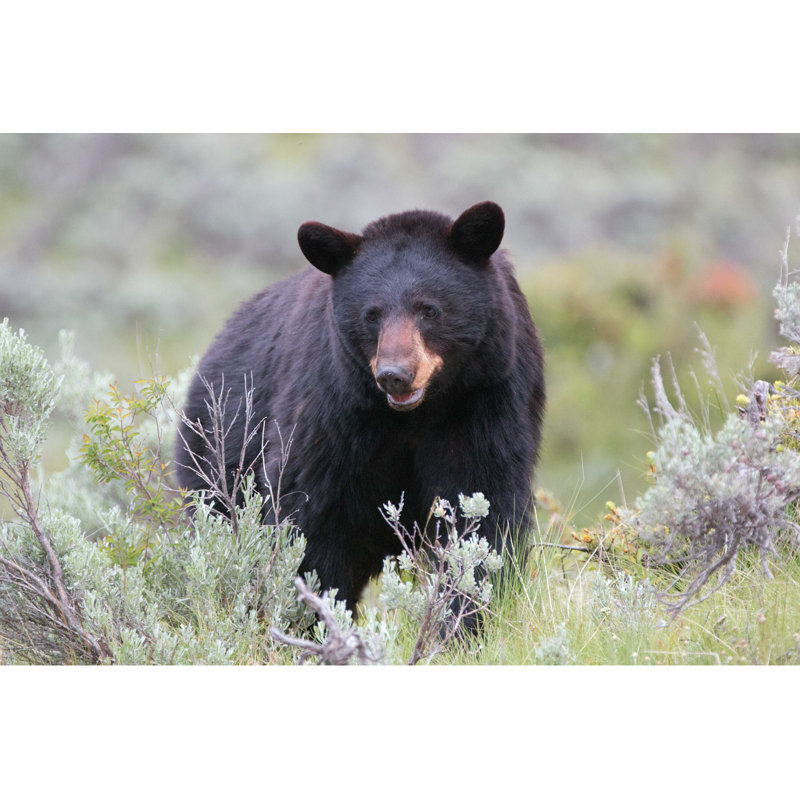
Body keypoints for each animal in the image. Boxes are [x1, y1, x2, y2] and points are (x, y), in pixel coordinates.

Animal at [175, 201, 545, 612]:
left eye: (429, 310)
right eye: (372, 314)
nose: (394, 375)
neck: (416, 413)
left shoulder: (486, 395)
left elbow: (481, 504)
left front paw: (464, 613)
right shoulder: (333, 407)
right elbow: (311, 514)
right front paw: (315, 611)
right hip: (217, 451)